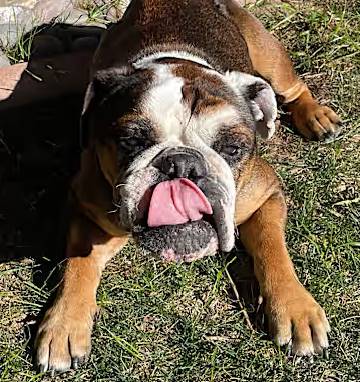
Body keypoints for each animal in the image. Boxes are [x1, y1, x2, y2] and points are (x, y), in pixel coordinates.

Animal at [33, 0, 340, 374]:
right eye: (131, 140)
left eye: (232, 148)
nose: (182, 164)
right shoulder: (87, 208)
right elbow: (78, 264)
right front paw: (64, 324)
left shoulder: (265, 195)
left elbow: (272, 248)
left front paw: (295, 309)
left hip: (271, 60)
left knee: (294, 87)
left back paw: (315, 115)